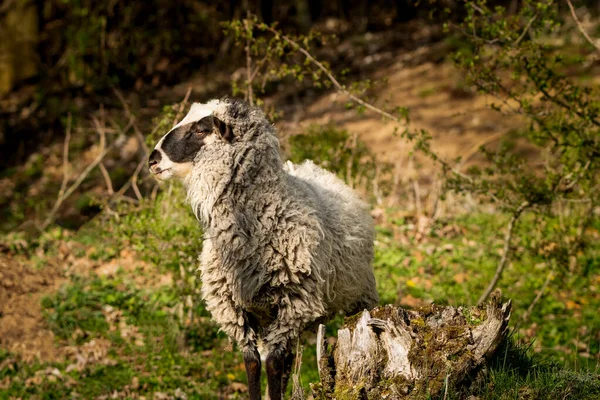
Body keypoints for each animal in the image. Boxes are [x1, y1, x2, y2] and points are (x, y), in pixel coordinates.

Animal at [148, 97, 378, 400]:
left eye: (200, 130)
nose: (152, 160)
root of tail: (309, 168)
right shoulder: (234, 311)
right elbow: (253, 363)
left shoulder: (294, 303)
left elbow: (272, 365)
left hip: (359, 293)